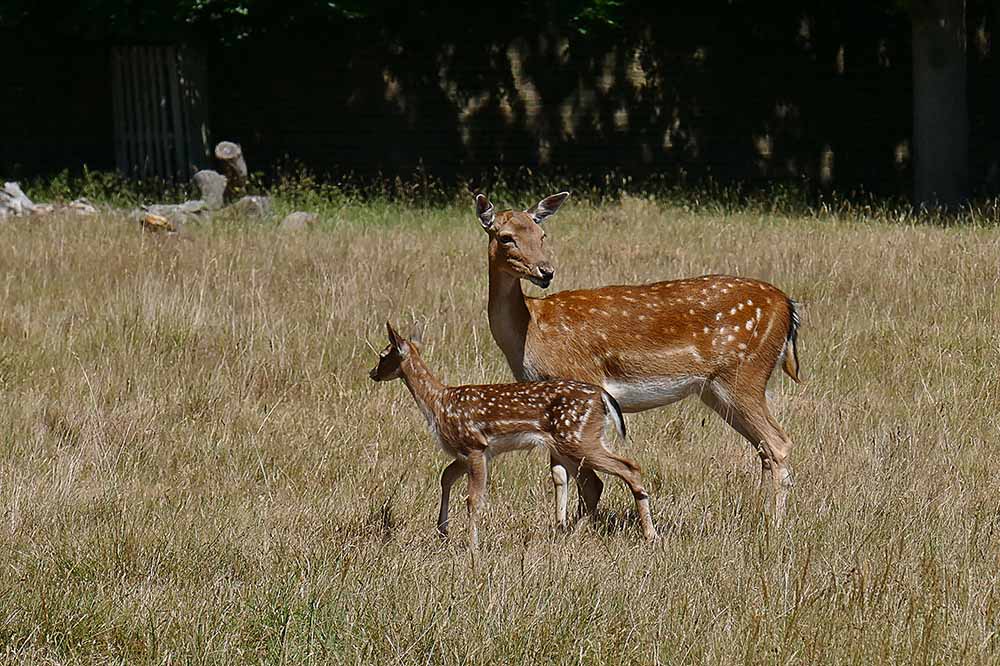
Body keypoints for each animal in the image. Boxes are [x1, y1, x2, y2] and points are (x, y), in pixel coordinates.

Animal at [472, 191, 800, 524]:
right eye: (506, 237)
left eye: (542, 235)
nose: (546, 272)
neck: (531, 328)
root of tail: (787, 306)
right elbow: (559, 473)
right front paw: (560, 523)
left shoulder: (581, 378)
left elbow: (583, 477)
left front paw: (580, 525)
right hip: (716, 389)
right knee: (763, 447)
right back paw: (758, 513)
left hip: (745, 373)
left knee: (778, 443)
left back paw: (775, 522)